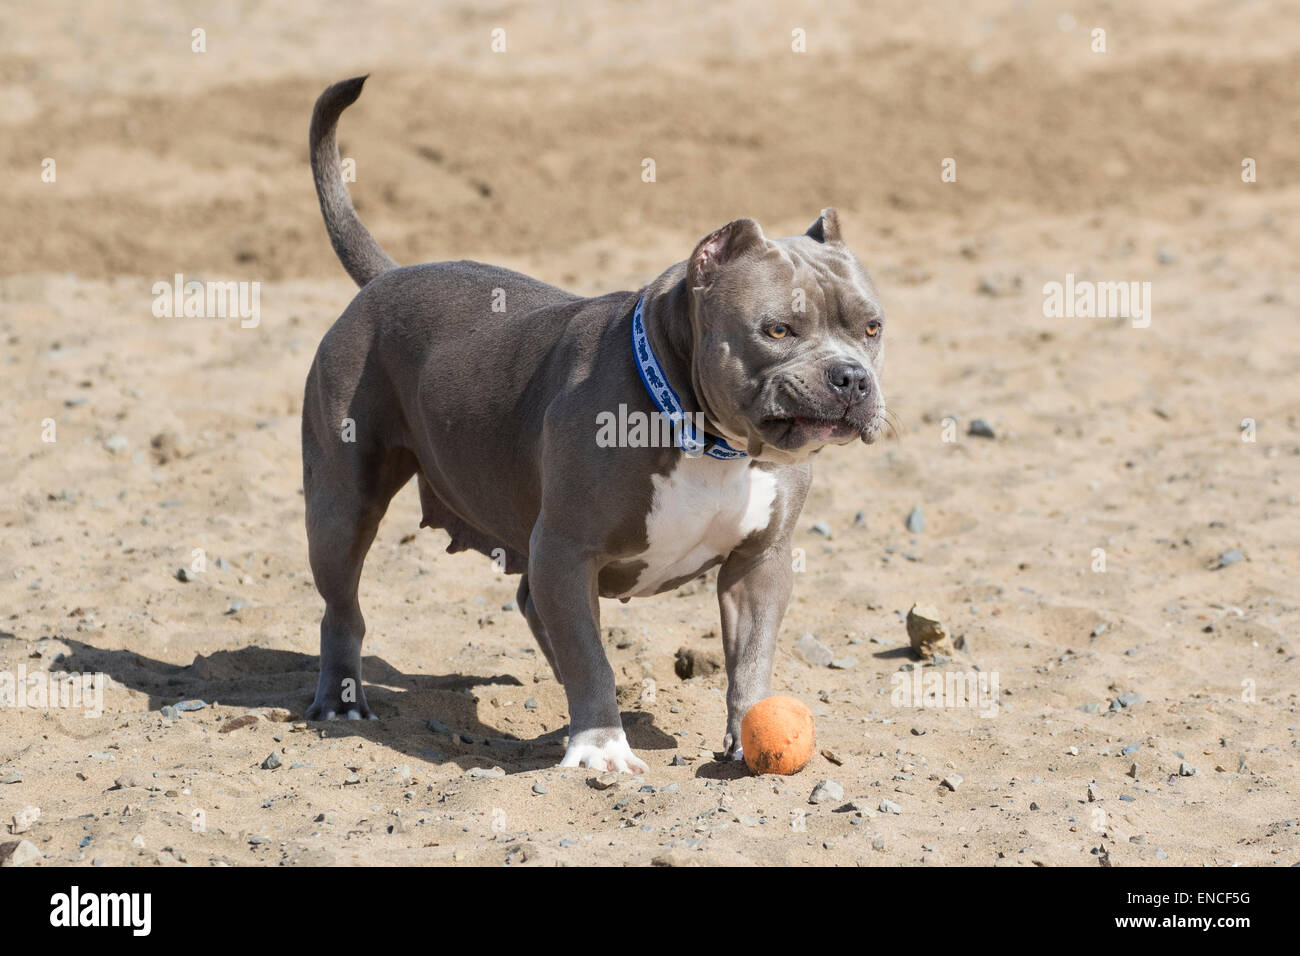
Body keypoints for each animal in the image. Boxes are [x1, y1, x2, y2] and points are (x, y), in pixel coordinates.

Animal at [302, 76, 889, 780]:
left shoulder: (759, 563)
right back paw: (342, 702)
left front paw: (747, 733)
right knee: (342, 605)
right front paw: (601, 746)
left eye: (872, 328)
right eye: (777, 330)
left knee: (532, 606)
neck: (707, 440)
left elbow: (750, 658)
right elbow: (590, 656)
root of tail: (387, 277)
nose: (851, 378)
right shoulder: (566, 549)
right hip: (342, 505)